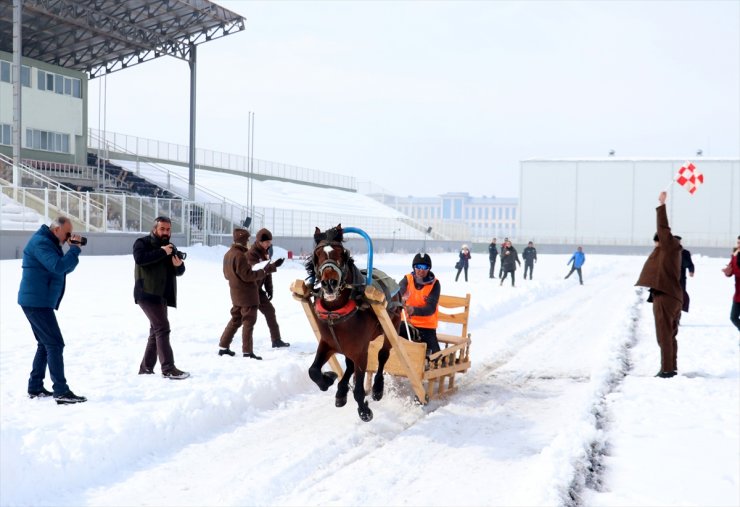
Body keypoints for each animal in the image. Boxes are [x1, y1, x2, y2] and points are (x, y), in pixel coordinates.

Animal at [304, 225, 402, 420]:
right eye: (317, 254)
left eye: (341, 253)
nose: (329, 283)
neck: (335, 313)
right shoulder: (328, 342)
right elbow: (313, 371)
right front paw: (329, 378)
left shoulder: (361, 351)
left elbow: (358, 388)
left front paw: (364, 410)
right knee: (349, 365)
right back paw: (341, 391)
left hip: (392, 325)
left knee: (383, 355)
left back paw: (377, 388)